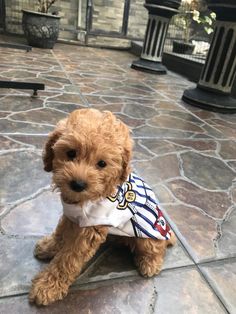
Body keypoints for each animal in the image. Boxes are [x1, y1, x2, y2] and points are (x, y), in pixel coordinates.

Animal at [29, 109, 175, 306]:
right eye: (71, 153)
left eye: (102, 164)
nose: (78, 184)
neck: (86, 199)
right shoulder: (71, 215)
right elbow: (61, 231)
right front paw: (49, 247)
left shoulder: (90, 228)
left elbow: (68, 258)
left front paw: (47, 286)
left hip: (149, 235)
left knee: (155, 247)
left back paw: (150, 263)